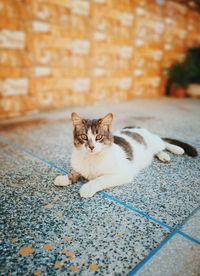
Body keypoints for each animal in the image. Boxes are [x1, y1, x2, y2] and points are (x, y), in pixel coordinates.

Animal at [54, 113, 198, 197]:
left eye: (99, 137)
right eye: (84, 136)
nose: (91, 147)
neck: (91, 158)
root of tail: (137, 127)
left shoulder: (122, 173)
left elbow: (100, 179)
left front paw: (87, 187)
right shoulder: (79, 165)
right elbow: (75, 171)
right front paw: (65, 178)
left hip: (154, 141)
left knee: (163, 143)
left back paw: (176, 149)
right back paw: (163, 156)